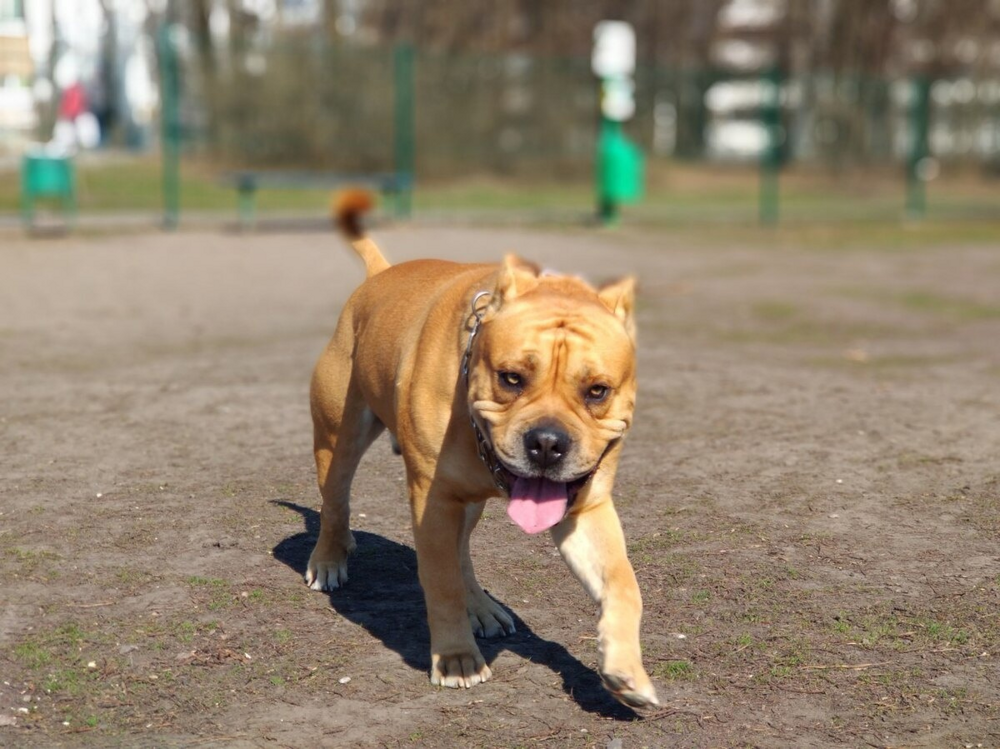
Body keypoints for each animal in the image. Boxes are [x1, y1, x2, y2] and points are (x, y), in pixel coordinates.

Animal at [308, 193, 660, 708]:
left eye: (597, 390)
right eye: (511, 378)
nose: (547, 443)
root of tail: (380, 275)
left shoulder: (587, 507)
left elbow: (623, 582)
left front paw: (627, 672)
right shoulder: (432, 500)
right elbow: (440, 583)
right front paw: (456, 659)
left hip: (466, 502)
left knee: (462, 554)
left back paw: (483, 608)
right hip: (339, 439)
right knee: (336, 501)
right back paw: (329, 560)